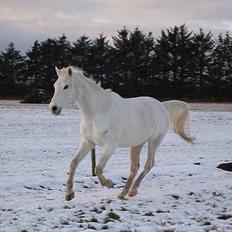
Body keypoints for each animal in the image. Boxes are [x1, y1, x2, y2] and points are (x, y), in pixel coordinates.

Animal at [49, 66, 194, 200]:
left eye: (66, 86)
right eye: (55, 85)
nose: (53, 108)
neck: (98, 112)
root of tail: (162, 106)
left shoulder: (110, 146)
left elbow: (98, 168)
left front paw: (109, 183)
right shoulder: (88, 142)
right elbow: (74, 163)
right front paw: (69, 194)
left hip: (154, 140)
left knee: (148, 164)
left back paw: (130, 190)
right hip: (137, 144)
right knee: (135, 167)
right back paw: (126, 193)